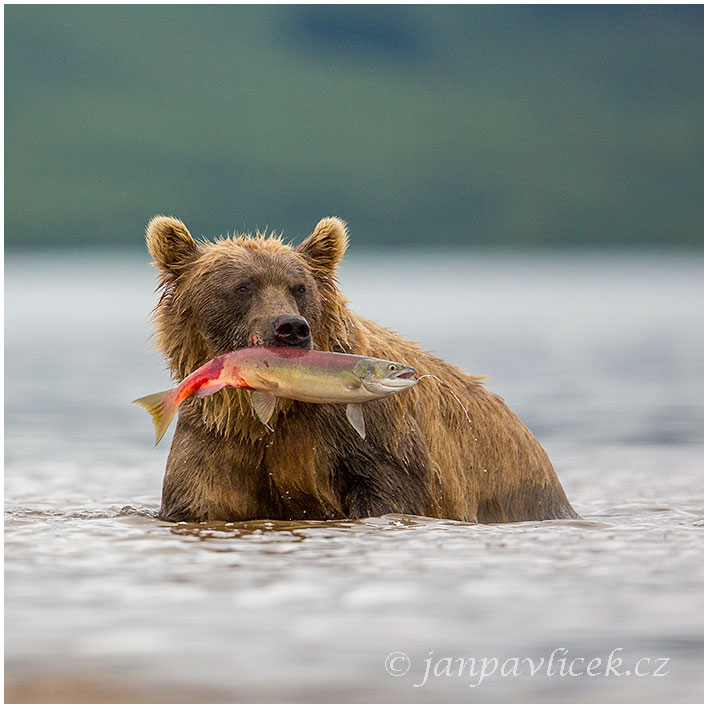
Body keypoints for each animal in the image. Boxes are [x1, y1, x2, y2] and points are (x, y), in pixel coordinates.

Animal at [144, 213, 576, 524]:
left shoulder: (368, 439)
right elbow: (200, 498)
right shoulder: (218, 440)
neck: (279, 411)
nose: (290, 327)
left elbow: (391, 490)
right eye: (242, 287)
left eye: (299, 287)